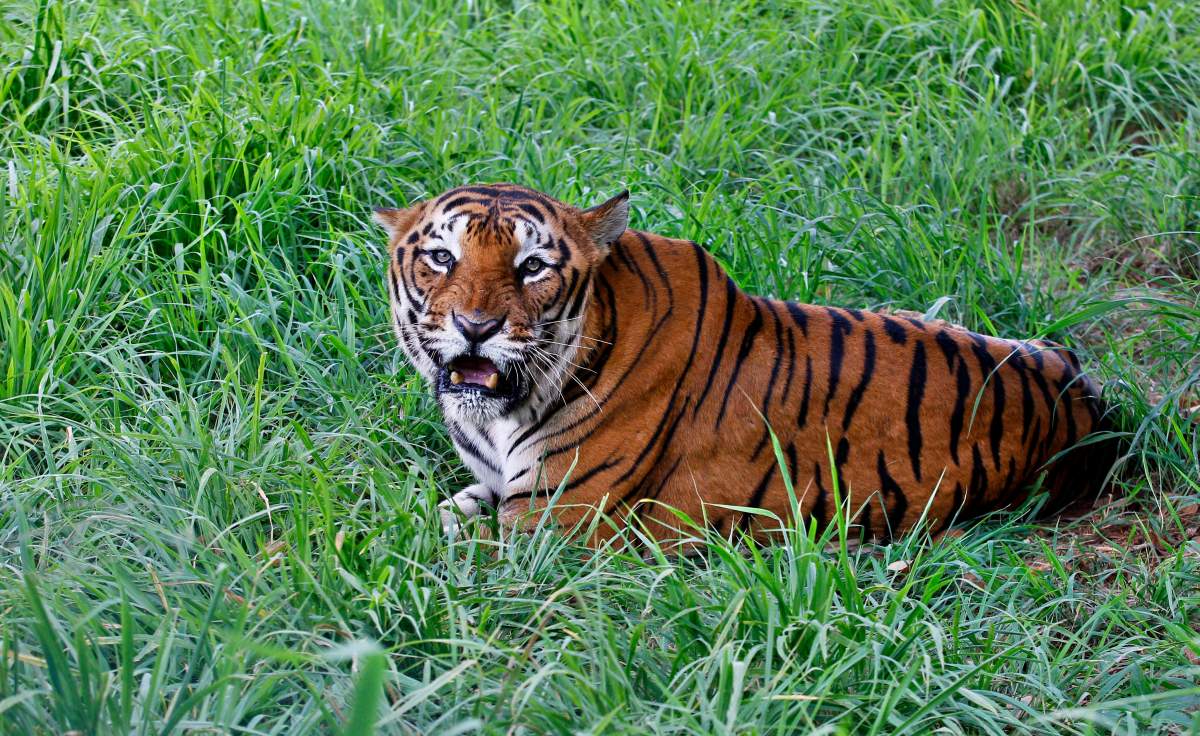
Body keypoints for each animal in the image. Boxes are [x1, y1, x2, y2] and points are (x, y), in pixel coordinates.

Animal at [373, 183, 1114, 546]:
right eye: (441, 257)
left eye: (532, 267)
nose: (477, 327)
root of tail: (1091, 396)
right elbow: (430, 514)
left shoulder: (551, 523)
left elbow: (420, 550)